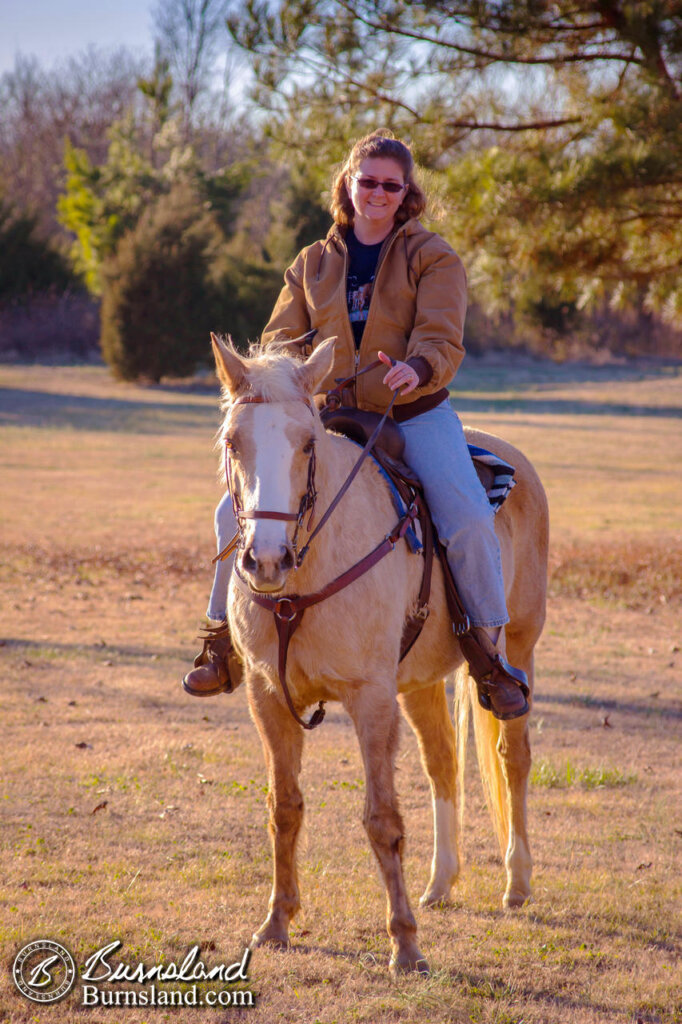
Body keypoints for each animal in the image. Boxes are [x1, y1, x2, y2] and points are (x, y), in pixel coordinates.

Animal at [210, 335, 548, 974]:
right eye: (233, 442)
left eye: (308, 442)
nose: (265, 560)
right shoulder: (268, 696)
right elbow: (284, 807)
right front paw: (276, 923)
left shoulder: (370, 698)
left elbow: (382, 820)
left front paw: (406, 944)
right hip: (418, 682)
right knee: (443, 762)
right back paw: (441, 884)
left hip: (518, 644)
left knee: (511, 757)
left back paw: (517, 884)